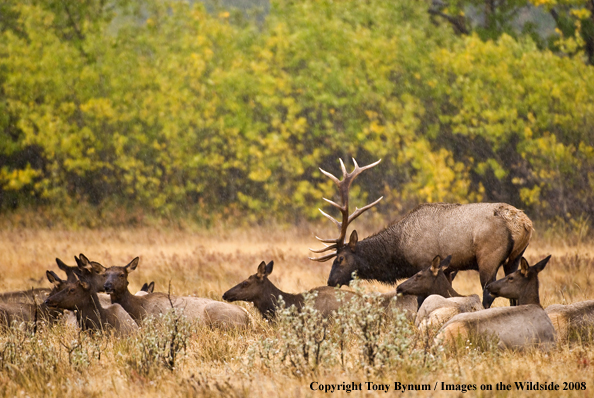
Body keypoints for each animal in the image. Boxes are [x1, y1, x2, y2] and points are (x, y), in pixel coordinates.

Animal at [310, 158, 532, 308]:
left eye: (340, 258)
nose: (330, 282)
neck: (399, 250)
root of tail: (523, 224)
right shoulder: (448, 269)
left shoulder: (423, 264)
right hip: (514, 258)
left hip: (488, 258)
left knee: (488, 294)